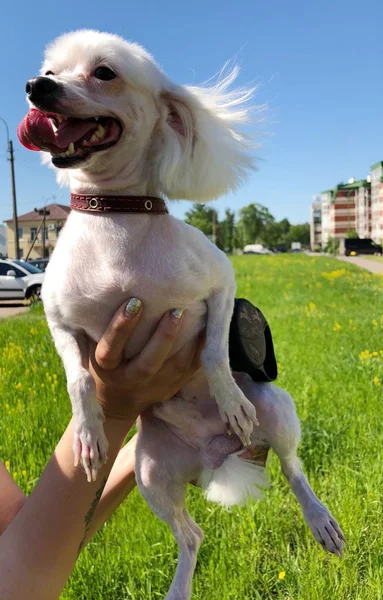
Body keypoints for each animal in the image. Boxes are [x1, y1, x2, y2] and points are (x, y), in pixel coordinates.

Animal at [17, 31, 344, 600]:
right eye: (51, 70)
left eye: (104, 73)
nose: (37, 87)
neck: (115, 220)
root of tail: (214, 457)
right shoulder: (59, 321)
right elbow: (80, 379)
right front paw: (88, 434)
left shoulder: (222, 284)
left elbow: (213, 354)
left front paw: (229, 401)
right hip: (151, 473)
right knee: (192, 535)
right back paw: (179, 588)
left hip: (276, 408)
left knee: (293, 467)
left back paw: (317, 516)